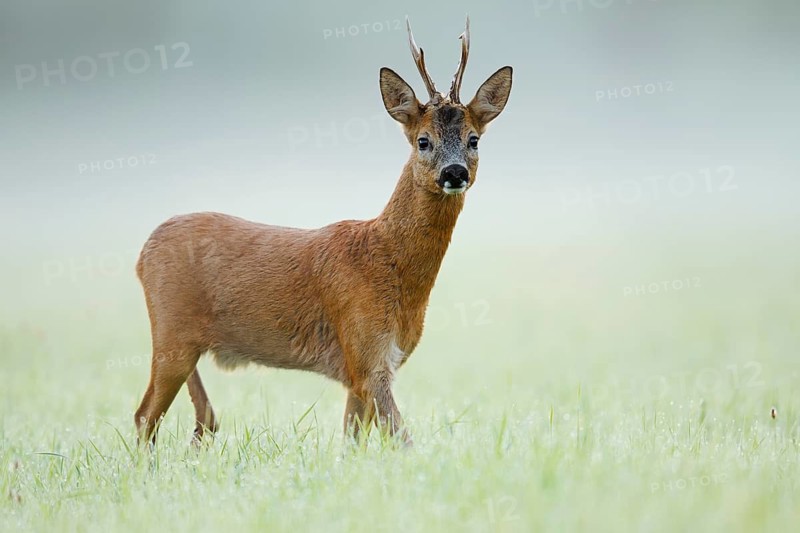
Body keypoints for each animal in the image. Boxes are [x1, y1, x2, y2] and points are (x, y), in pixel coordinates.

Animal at [133, 16, 512, 446]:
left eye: (473, 139)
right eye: (423, 141)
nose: (455, 172)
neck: (387, 261)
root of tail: (143, 253)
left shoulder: (368, 366)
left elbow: (351, 442)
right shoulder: (364, 352)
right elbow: (402, 440)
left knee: (199, 416)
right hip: (171, 334)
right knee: (145, 416)